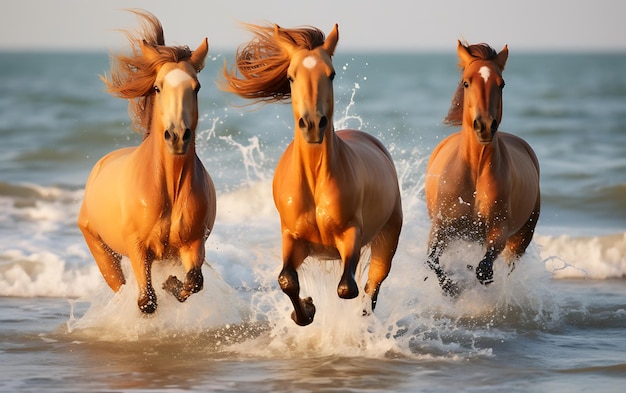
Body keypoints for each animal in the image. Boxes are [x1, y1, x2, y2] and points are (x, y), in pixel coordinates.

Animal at [77, 9, 217, 312]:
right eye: (157, 87)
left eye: (196, 87)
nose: (177, 136)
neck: (169, 187)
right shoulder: (138, 247)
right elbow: (146, 302)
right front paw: (164, 289)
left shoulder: (192, 244)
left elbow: (194, 283)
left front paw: (171, 284)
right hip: (102, 252)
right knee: (120, 287)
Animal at [222, 23, 402, 324]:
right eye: (290, 77)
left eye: (331, 74)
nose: (313, 124)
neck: (315, 180)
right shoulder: (292, 237)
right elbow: (286, 280)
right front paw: (306, 310)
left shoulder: (351, 232)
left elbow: (347, 288)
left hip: (387, 237)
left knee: (373, 283)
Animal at [424, 41, 536, 296]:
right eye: (467, 82)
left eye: (501, 83)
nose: (484, 126)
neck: (474, 170)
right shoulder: (441, 227)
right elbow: (432, 260)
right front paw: (452, 289)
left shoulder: (498, 230)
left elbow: (483, 269)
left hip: (522, 236)